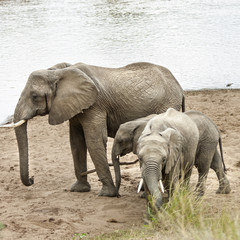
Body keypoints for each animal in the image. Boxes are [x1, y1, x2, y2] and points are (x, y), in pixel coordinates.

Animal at [12, 62, 184, 197]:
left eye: (34, 96)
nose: (32, 179)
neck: (58, 72)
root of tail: (180, 89)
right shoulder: (75, 107)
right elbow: (76, 142)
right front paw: (79, 189)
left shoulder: (95, 105)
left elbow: (93, 139)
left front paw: (107, 194)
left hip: (166, 104)